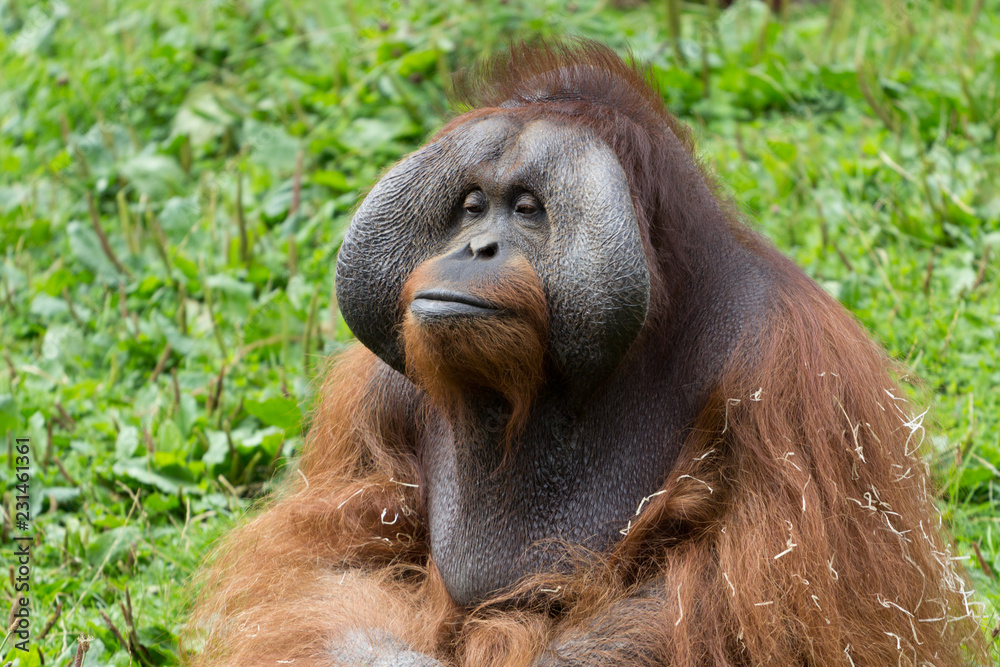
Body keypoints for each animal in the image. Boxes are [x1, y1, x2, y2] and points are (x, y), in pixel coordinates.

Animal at [187, 40, 987, 667]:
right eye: (472, 206)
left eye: (528, 209)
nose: (476, 247)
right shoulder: (375, 386)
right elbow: (341, 554)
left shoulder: (799, 376)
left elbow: (769, 604)